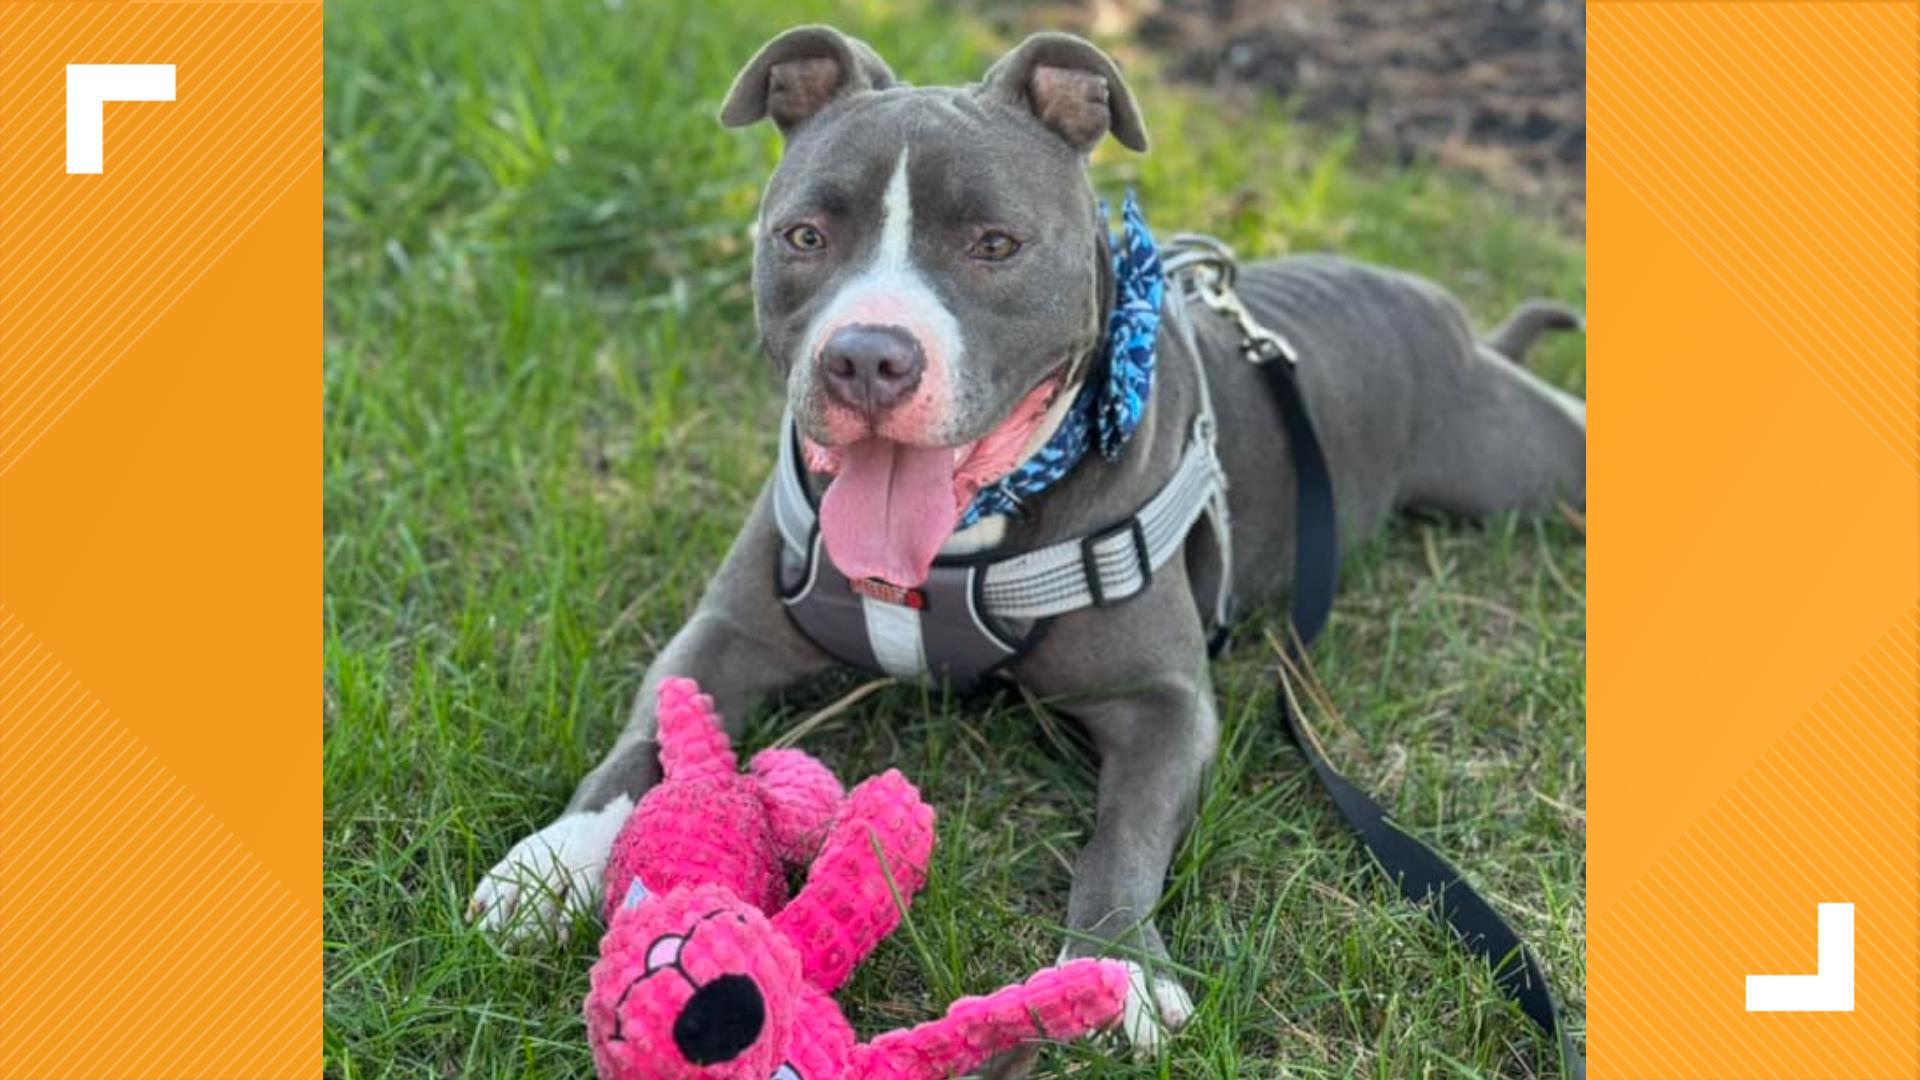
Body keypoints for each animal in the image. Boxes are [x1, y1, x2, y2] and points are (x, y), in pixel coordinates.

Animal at [472, 23, 1582, 1060]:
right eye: (805, 234)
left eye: (996, 245)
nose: (865, 358)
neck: (960, 543)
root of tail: (1450, 314)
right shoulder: (724, 635)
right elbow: (643, 742)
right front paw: (552, 861)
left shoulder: (1164, 704)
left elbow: (1121, 836)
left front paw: (1118, 960)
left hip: (1520, 461)